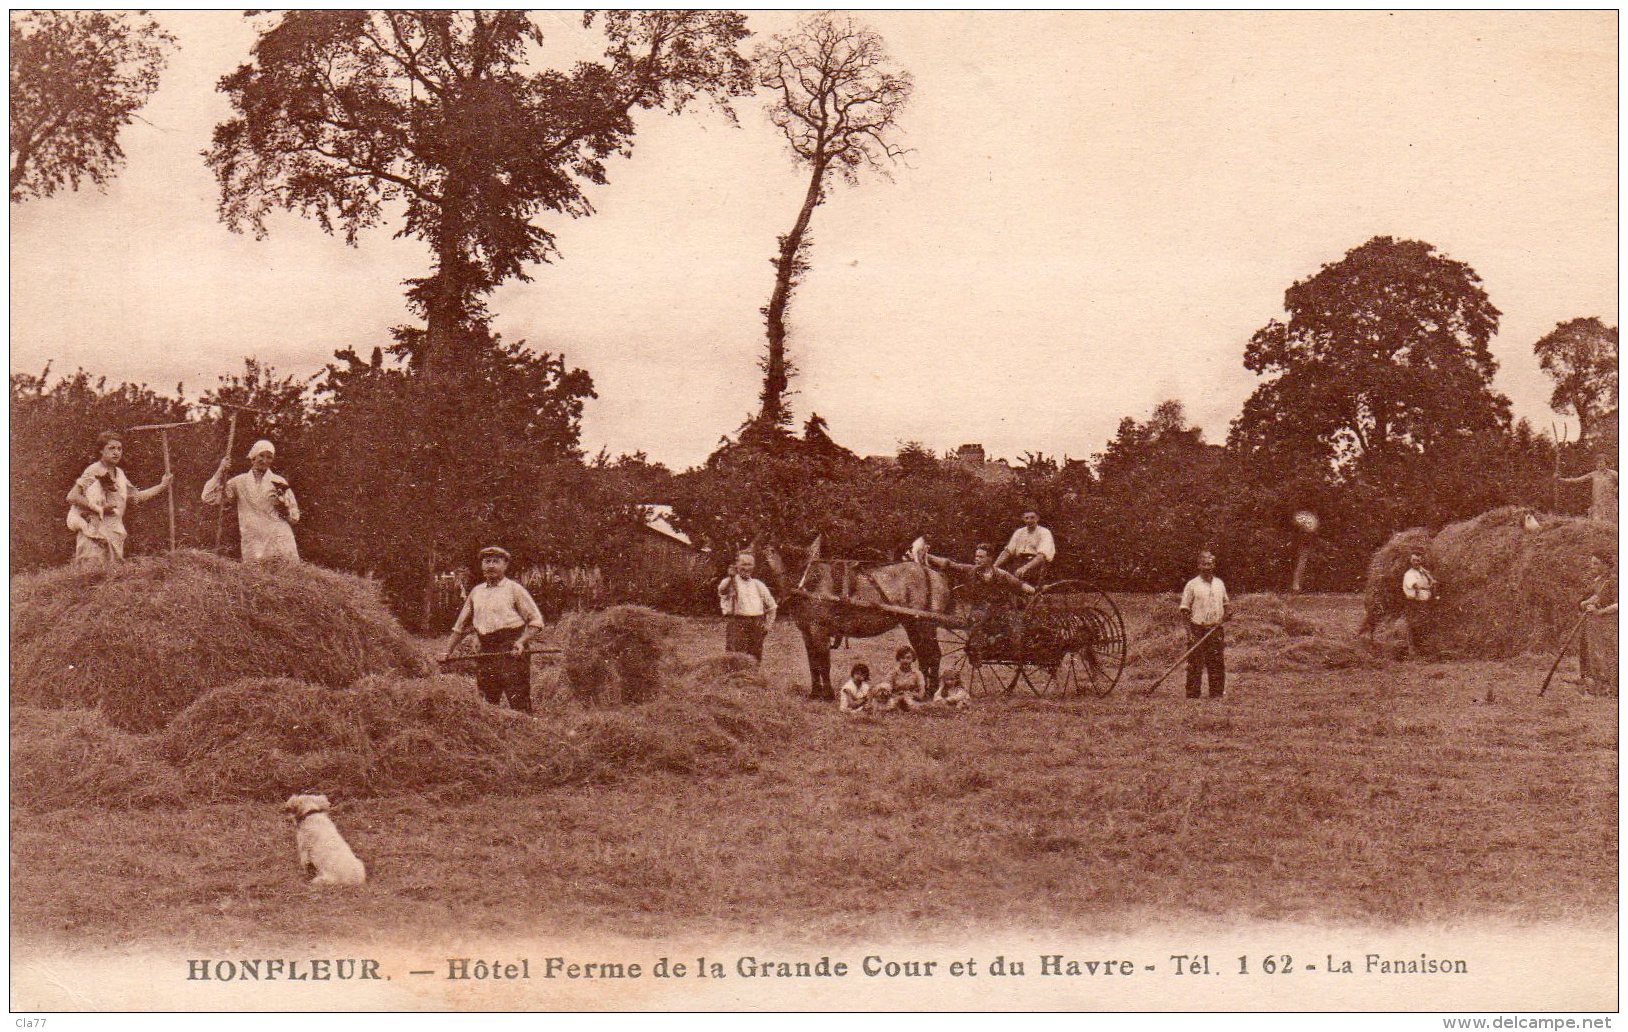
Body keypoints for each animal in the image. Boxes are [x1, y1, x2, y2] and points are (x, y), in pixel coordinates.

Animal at [758, 537, 950, 699]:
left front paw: (828, 694)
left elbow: (823, 663)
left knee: (934, 655)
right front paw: (815, 693)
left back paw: (931, 692)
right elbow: (813, 663)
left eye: (761, 559)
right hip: (913, 625)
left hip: (925, 625)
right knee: (924, 656)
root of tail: (934, 574)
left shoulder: (819, 630)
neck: (807, 581)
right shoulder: (807, 632)